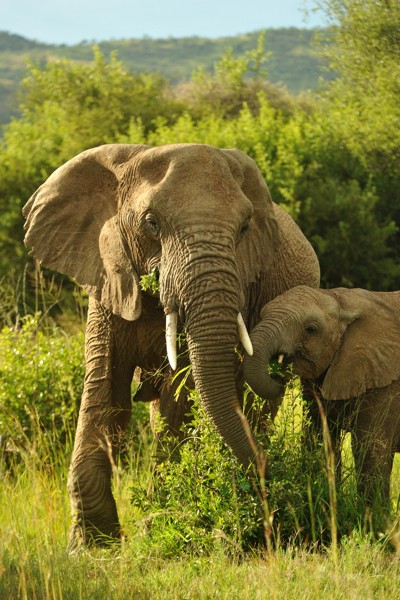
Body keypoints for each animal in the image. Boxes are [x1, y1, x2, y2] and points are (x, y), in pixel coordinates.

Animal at [23, 143, 320, 548]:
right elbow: (106, 394)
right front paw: (92, 547)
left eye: (245, 227)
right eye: (151, 223)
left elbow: (181, 398)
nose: (265, 476)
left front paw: (157, 522)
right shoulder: (108, 275)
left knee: (250, 408)